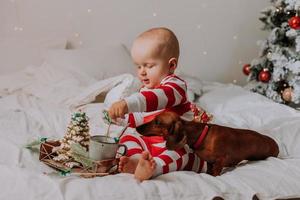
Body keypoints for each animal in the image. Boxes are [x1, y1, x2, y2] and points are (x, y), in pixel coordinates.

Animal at [136, 111, 278, 176]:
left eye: (157, 122)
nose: (137, 127)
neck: (202, 136)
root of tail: (277, 146)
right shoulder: (209, 163)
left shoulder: (220, 161)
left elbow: (215, 173)